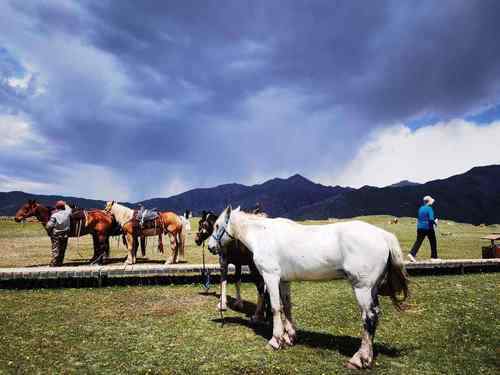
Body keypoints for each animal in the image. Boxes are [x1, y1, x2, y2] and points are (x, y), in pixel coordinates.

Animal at [207, 207, 406, 372]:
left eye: (216, 225)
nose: (210, 247)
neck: (264, 235)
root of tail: (383, 236)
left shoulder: (271, 277)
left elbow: (276, 308)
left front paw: (276, 340)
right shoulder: (284, 281)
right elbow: (286, 306)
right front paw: (290, 337)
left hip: (362, 288)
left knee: (369, 318)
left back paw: (359, 359)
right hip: (372, 289)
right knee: (375, 315)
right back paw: (368, 357)